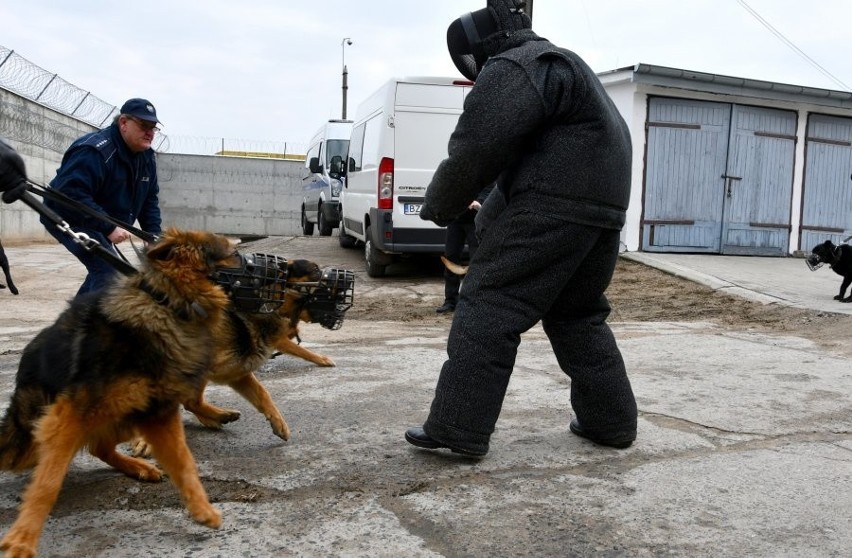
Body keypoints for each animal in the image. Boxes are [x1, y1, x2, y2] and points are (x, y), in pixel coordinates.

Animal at [0, 229, 253, 558]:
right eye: (234, 254)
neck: (167, 304)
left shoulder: (158, 413)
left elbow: (184, 462)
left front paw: (202, 509)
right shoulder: (68, 416)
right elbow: (48, 482)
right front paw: (23, 539)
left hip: (124, 415)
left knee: (100, 448)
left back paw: (139, 467)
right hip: (48, 429)